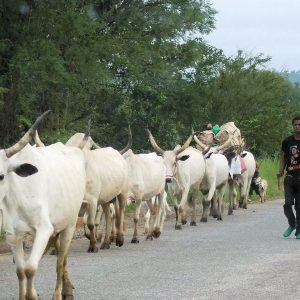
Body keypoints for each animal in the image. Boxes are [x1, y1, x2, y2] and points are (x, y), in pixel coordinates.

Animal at [0, 112, 86, 300]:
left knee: (61, 261)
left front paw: (31, 296)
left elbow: (30, 269)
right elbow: (20, 270)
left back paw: (60, 294)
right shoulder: (13, 235)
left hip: (69, 225)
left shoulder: (44, 228)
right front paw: (26, 295)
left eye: (1, 176)